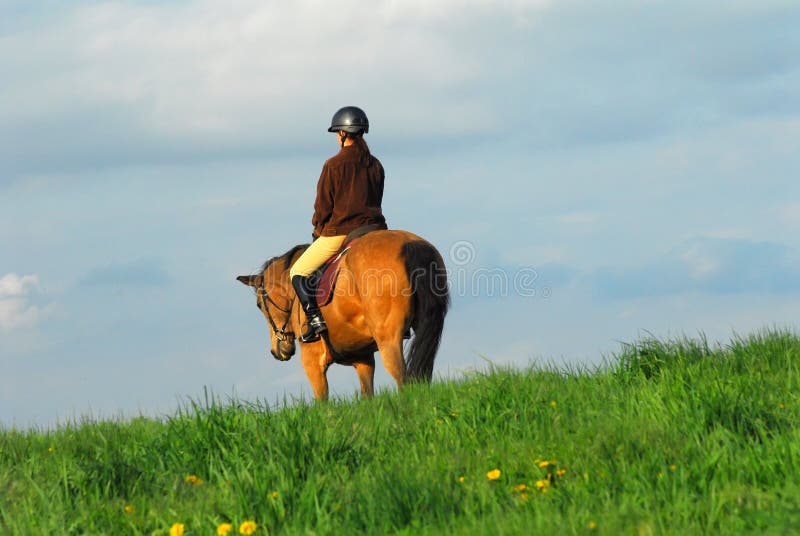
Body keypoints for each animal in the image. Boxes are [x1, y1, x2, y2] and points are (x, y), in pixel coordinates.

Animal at [238, 228, 450, 400]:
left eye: (259, 305)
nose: (278, 351)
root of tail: (409, 243)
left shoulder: (312, 361)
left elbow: (322, 402)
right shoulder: (364, 359)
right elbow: (368, 397)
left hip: (388, 339)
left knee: (402, 377)